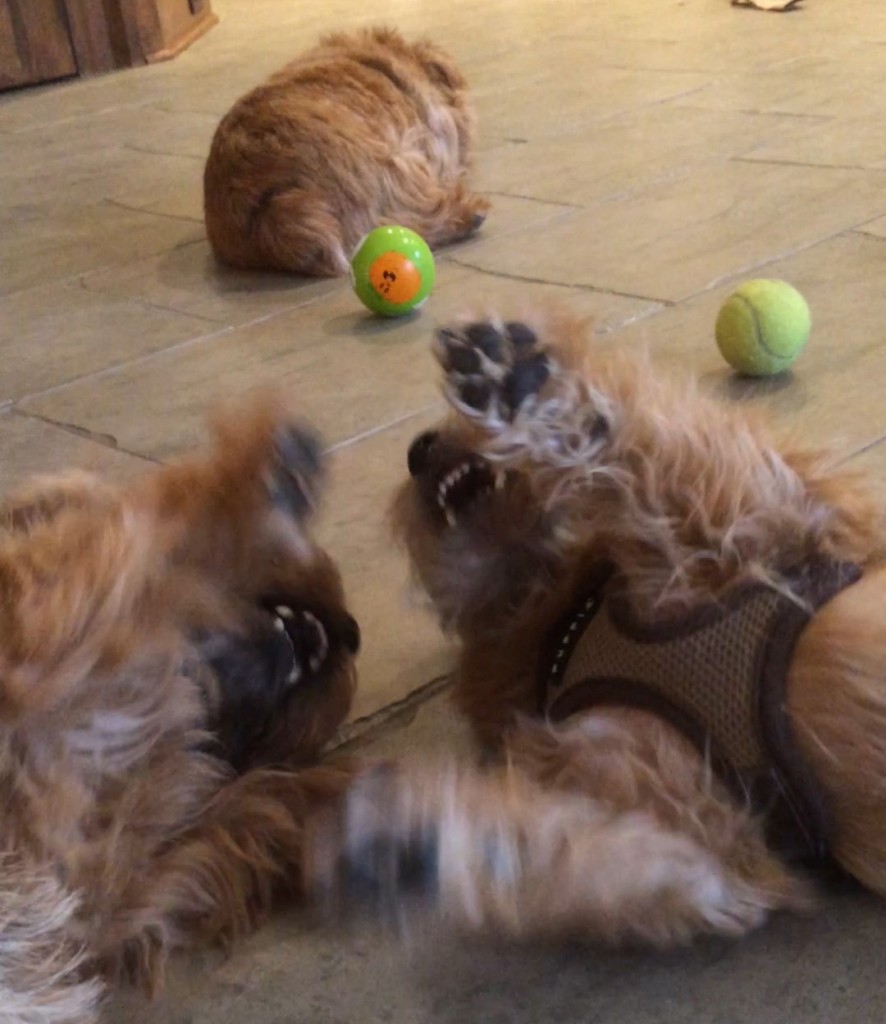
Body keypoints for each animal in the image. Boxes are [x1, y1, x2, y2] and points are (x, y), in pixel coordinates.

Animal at [313, 307, 886, 946]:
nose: (419, 448)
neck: (563, 618)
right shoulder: (701, 827)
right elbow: (583, 852)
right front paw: (412, 844)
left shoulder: (786, 518)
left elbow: (661, 458)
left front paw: (523, 387)